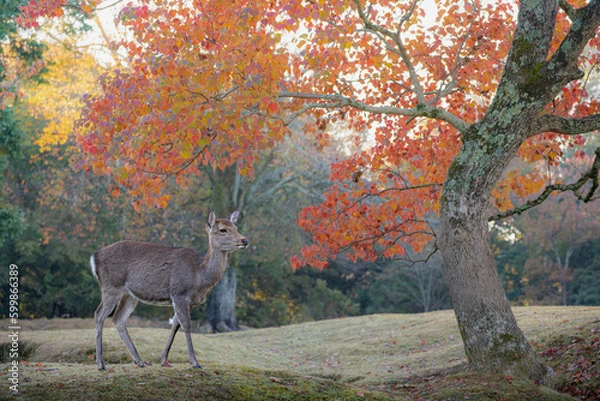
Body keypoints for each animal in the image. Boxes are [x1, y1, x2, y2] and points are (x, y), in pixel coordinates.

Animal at [89, 209, 248, 368]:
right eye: (223, 229)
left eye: (236, 228)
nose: (244, 240)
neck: (199, 275)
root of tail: (94, 256)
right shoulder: (179, 293)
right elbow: (186, 325)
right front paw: (194, 362)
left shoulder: (189, 301)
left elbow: (175, 325)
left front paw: (164, 359)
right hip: (111, 286)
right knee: (99, 314)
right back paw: (101, 364)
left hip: (129, 295)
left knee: (118, 318)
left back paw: (139, 361)